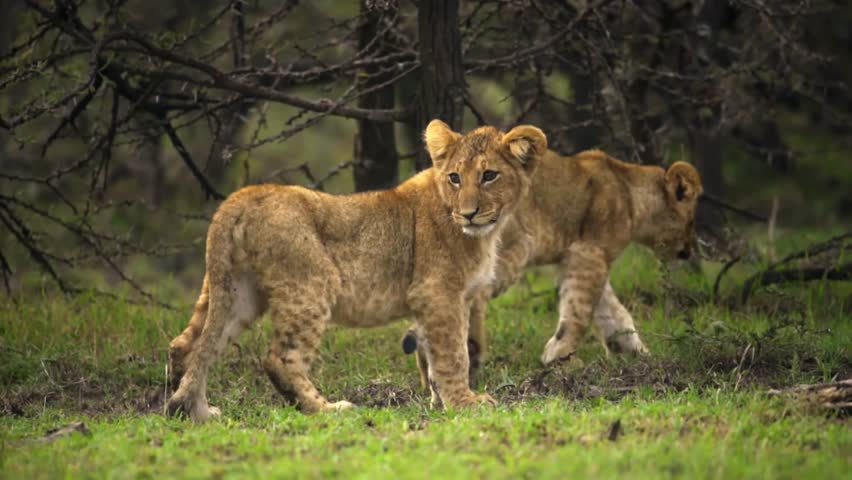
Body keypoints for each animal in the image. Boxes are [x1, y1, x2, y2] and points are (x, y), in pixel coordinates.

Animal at [165, 119, 548, 422]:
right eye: (455, 178)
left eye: (489, 176)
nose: (469, 213)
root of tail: (241, 196)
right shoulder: (438, 294)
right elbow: (454, 354)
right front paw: (465, 403)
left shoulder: (436, 302)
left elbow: (431, 354)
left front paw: (440, 401)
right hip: (312, 284)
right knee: (279, 358)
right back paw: (327, 409)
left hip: (235, 291)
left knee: (187, 345)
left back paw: (196, 411)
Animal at [403, 149, 703, 388]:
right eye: (690, 221)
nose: (690, 249)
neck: (628, 188)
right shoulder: (589, 252)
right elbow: (579, 311)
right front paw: (559, 356)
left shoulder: (578, 259)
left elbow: (614, 314)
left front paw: (639, 356)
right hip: (512, 249)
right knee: (470, 300)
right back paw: (471, 353)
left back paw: (427, 370)